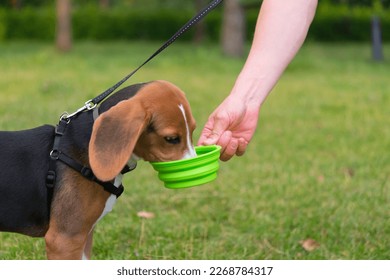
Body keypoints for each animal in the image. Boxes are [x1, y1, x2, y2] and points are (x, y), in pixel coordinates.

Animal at [0, 80, 195, 260]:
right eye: (171, 139)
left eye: (193, 130)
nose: (194, 171)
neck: (88, 148)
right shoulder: (64, 240)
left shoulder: (84, 235)